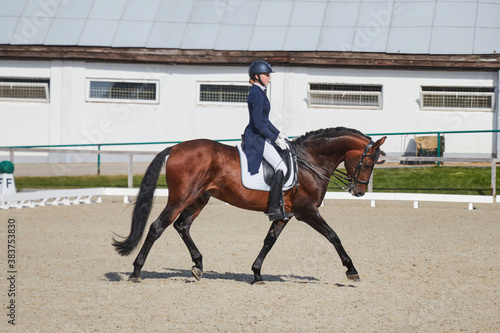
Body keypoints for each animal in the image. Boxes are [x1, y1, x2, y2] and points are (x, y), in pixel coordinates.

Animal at [114, 126, 386, 284]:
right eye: (367, 162)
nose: (359, 191)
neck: (310, 161)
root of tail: (176, 147)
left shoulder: (284, 214)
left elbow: (269, 241)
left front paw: (256, 274)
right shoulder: (307, 211)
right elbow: (333, 236)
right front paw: (351, 270)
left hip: (199, 198)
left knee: (182, 226)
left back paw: (198, 266)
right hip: (181, 198)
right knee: (157, 227)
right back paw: (136, 272)